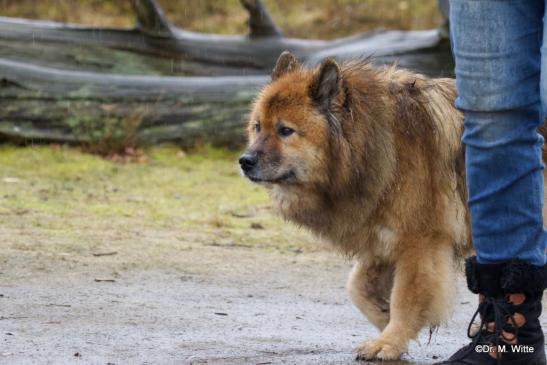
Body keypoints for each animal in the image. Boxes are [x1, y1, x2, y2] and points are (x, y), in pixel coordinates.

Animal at [242, 51, 482, 358]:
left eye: (285, 131)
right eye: (258, 126)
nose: (245, 161)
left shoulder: (421, 243)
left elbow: (405, 297)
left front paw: (389, 341)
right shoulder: (381, 235)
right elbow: (357, 287)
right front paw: (385, 318)